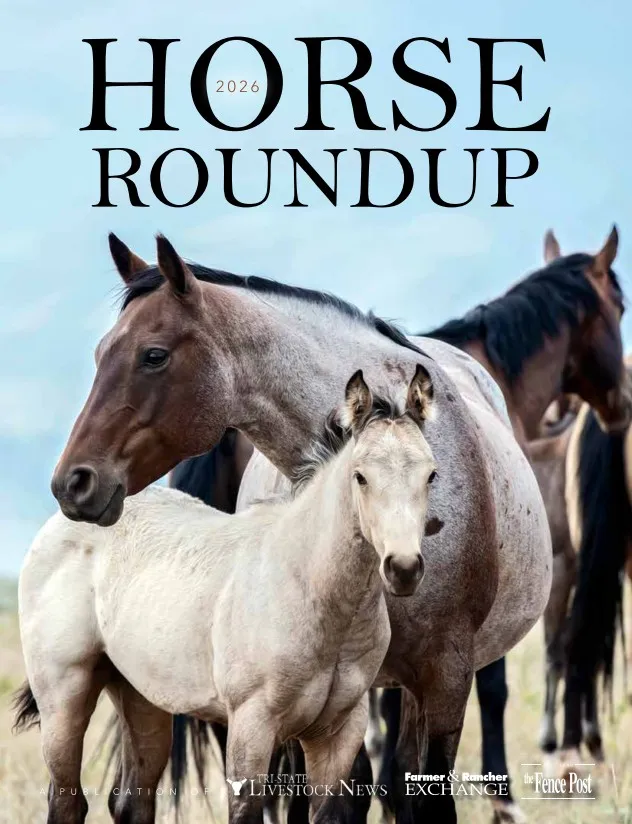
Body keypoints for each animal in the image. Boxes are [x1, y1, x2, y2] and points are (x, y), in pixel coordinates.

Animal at [17, 367, 436, 824]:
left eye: (431, 475)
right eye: (361, 476)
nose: (403, 568)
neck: (309, 585)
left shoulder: (339, 732)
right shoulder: (252, 725)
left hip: (140, 697)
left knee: (131, 800)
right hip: (64, 695)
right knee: (67, 801)